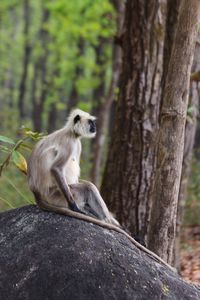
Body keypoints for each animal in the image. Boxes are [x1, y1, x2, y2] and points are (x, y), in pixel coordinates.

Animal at [27, 108, 175, 272]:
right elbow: (56, 169)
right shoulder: (69, 142)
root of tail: (35, 190)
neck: (72, 133)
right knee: (88, 186)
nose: (95, 127)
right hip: (55, 195)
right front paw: (74, 207)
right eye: (91, 122)